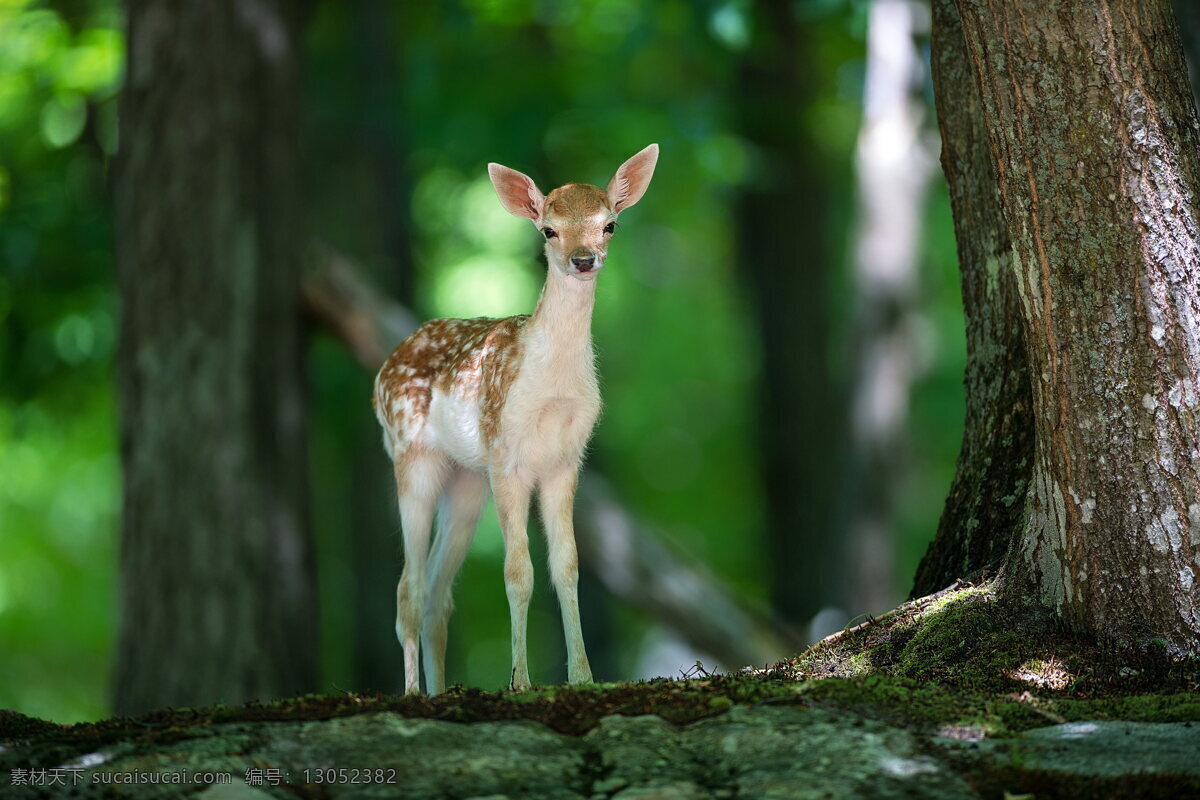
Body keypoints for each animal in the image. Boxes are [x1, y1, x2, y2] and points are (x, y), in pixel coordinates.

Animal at [372, 145, 662, 695]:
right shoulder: (506, 455)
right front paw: (521, 681)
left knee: (438, 592)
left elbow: (566, 567)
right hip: (412, 454)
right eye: (548, 229)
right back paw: (414, 692)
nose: (583, 259)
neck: (551, 387)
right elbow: (518, 572)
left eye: (609, 224)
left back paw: (440, 689)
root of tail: (383, 370)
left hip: (467, 478)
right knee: (407, 588)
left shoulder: (566, 461)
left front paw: (583, 677)